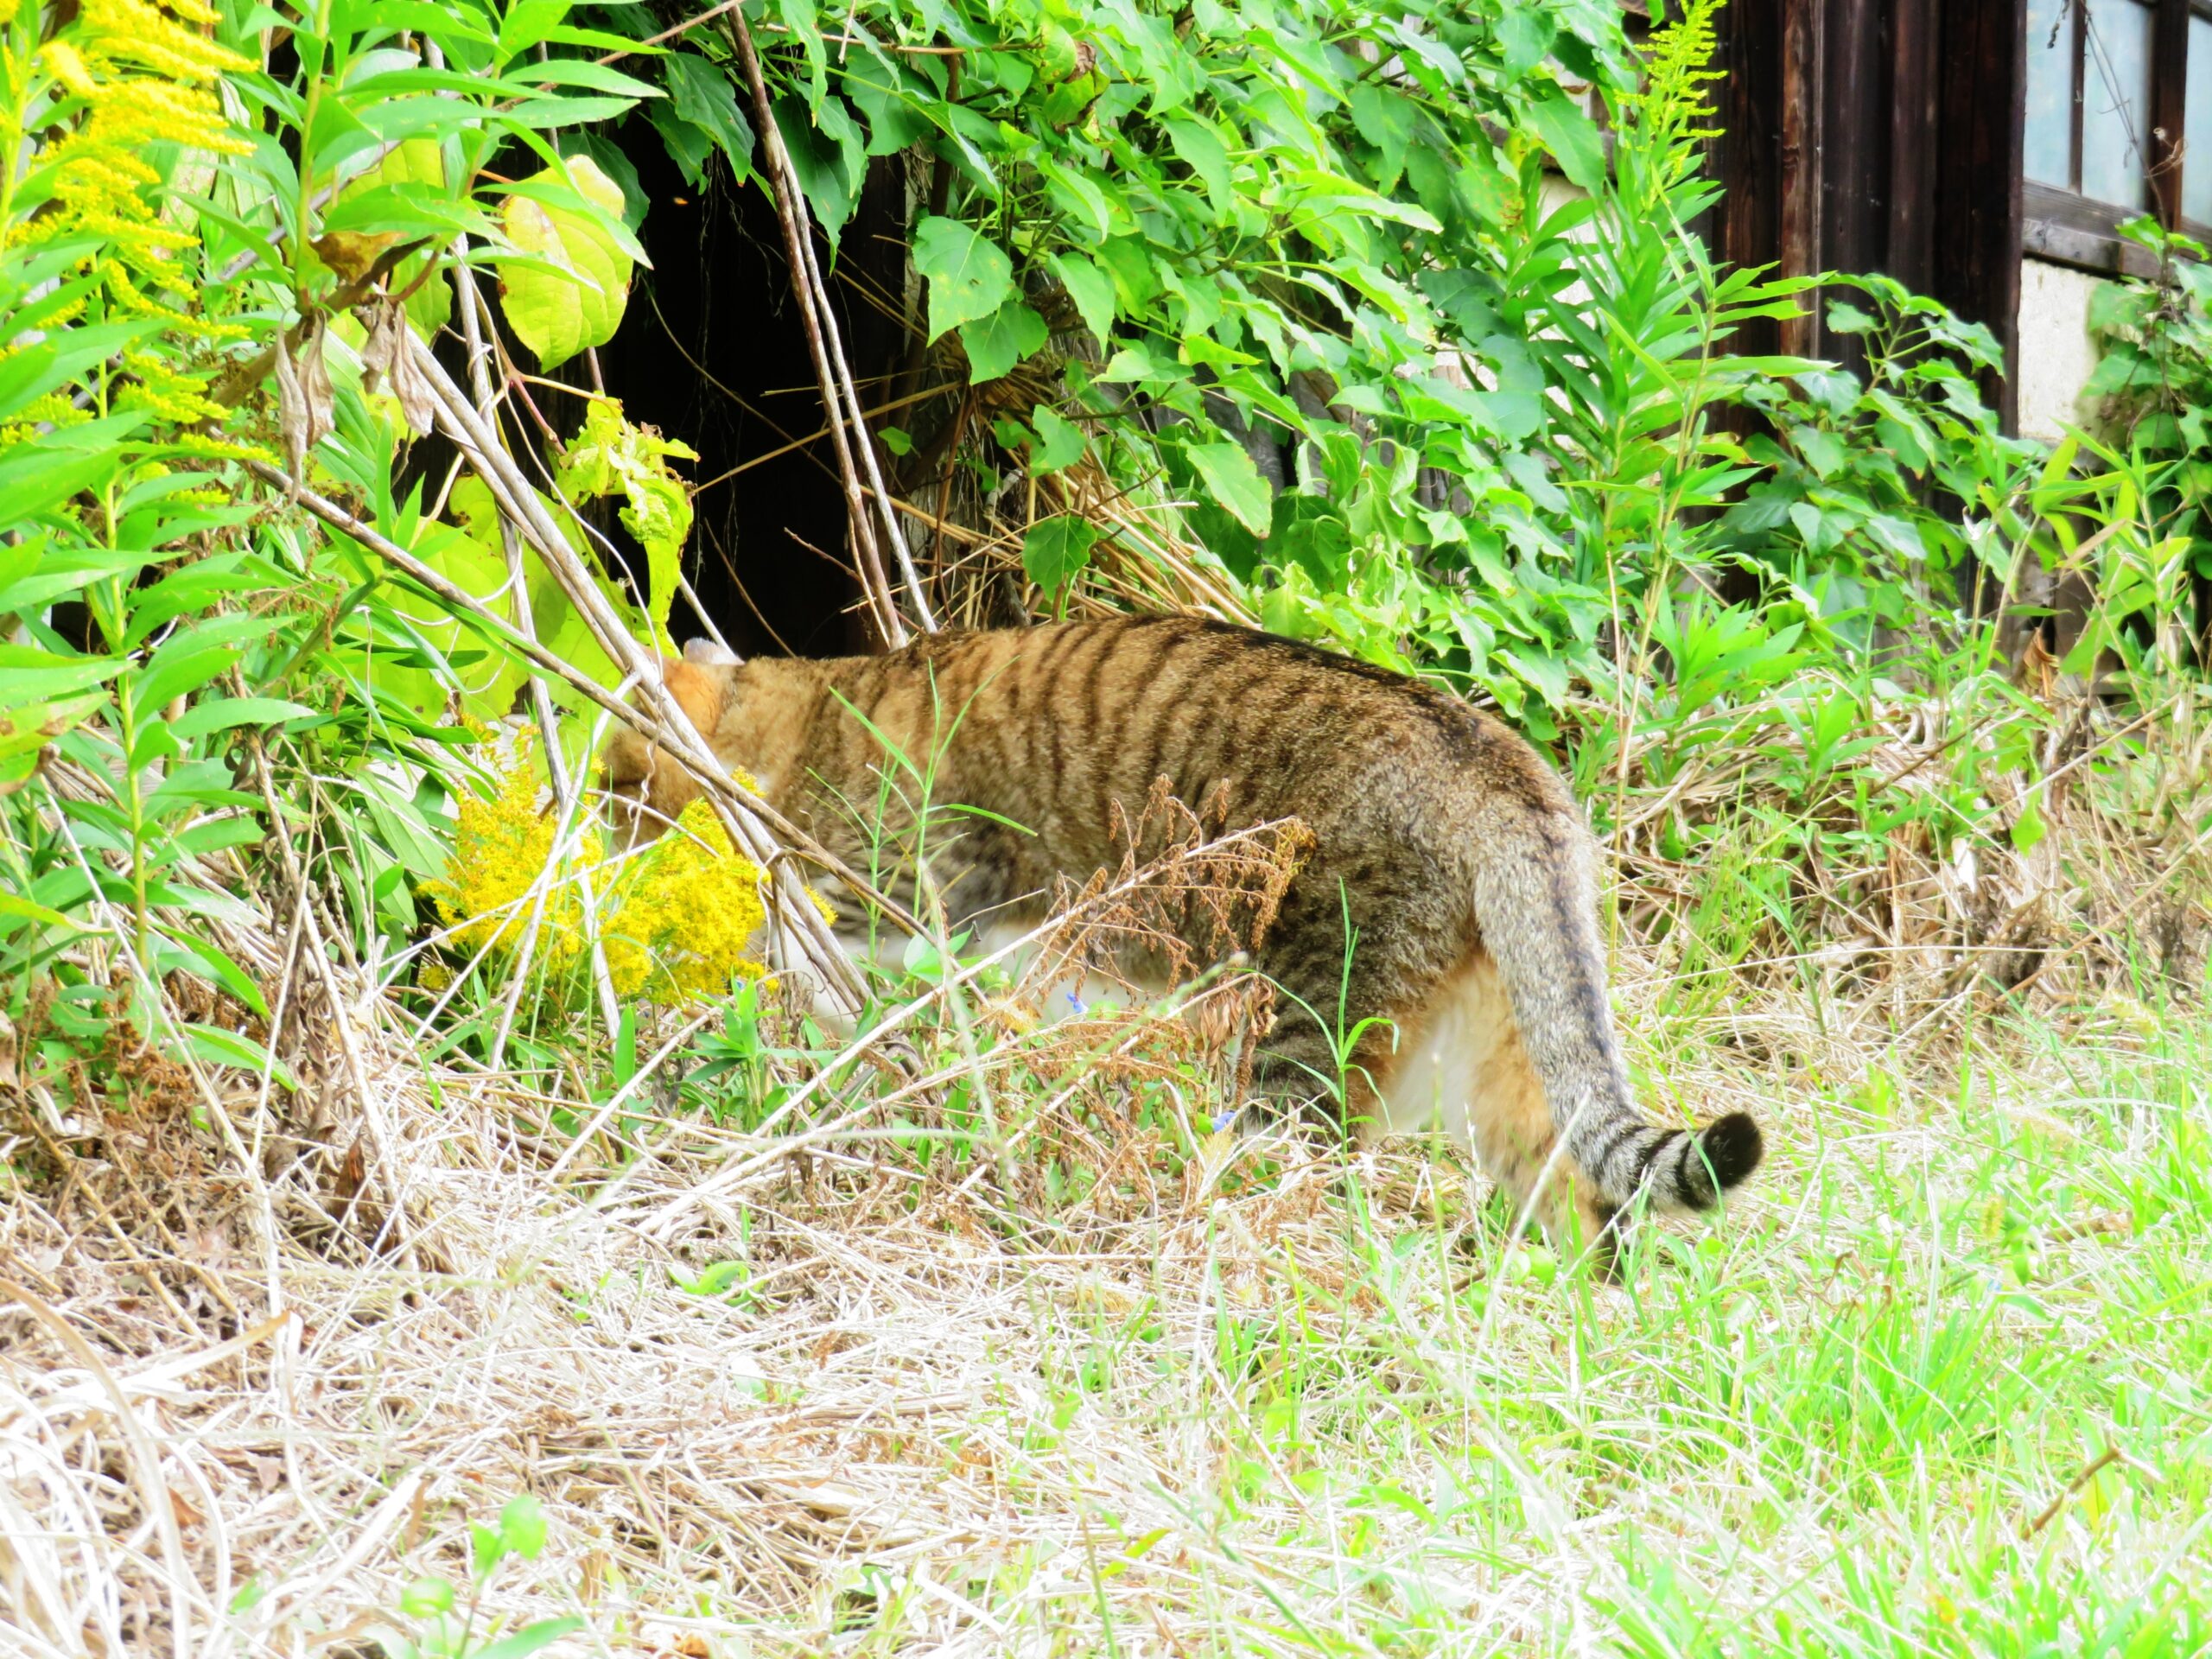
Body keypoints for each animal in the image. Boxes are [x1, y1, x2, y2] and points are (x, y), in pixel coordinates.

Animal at [606, 610, 1760, 1274]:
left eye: (621, 784)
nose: (599, 832)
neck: (806, 713)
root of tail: (1500, 764)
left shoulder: (900, 902)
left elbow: (804, 971)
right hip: (1500, 1067)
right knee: (1584, 1204)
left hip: (1300, 1029)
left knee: (1297, 1176)